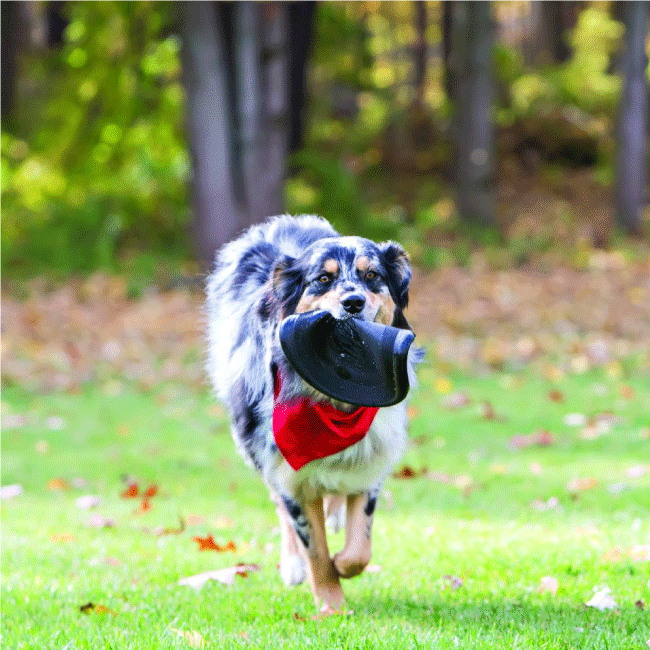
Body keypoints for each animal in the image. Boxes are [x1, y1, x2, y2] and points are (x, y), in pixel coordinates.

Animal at [208, 214, 418, 612]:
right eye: (322, 279)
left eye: (371, 276)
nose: (353, 302)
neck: (333, 406)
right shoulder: (288, 472)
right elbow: (316, 551)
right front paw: (332, 607)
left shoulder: (372, 459)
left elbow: (359, 547)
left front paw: (343, 563)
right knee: (279, 503)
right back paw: (292, 564)